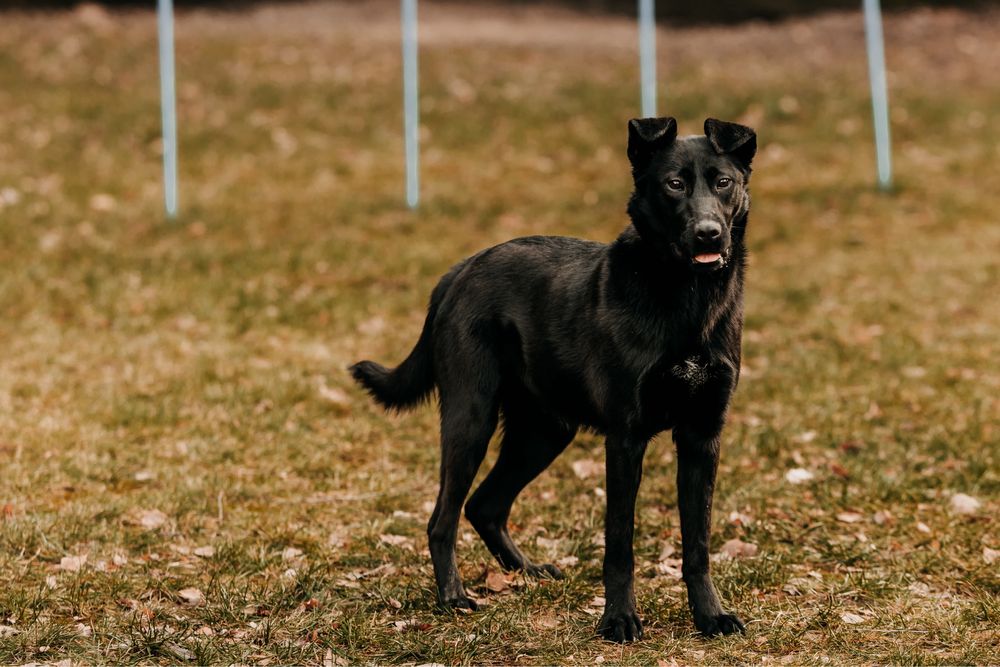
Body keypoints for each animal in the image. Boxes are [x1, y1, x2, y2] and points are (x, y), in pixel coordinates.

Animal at [348, 117, 752, 644]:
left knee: (485, 505)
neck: (686, 299)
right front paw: (618, 619)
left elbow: (698, 543)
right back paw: (453, 597)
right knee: (443, 518)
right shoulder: (626, 439)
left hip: (545, 432)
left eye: (723, 182)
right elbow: (619, 542)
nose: (709, 234)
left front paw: (709, 616)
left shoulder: (702, 437)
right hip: (471, 420)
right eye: (674, 184)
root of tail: (462, 268)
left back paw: (528, 572)